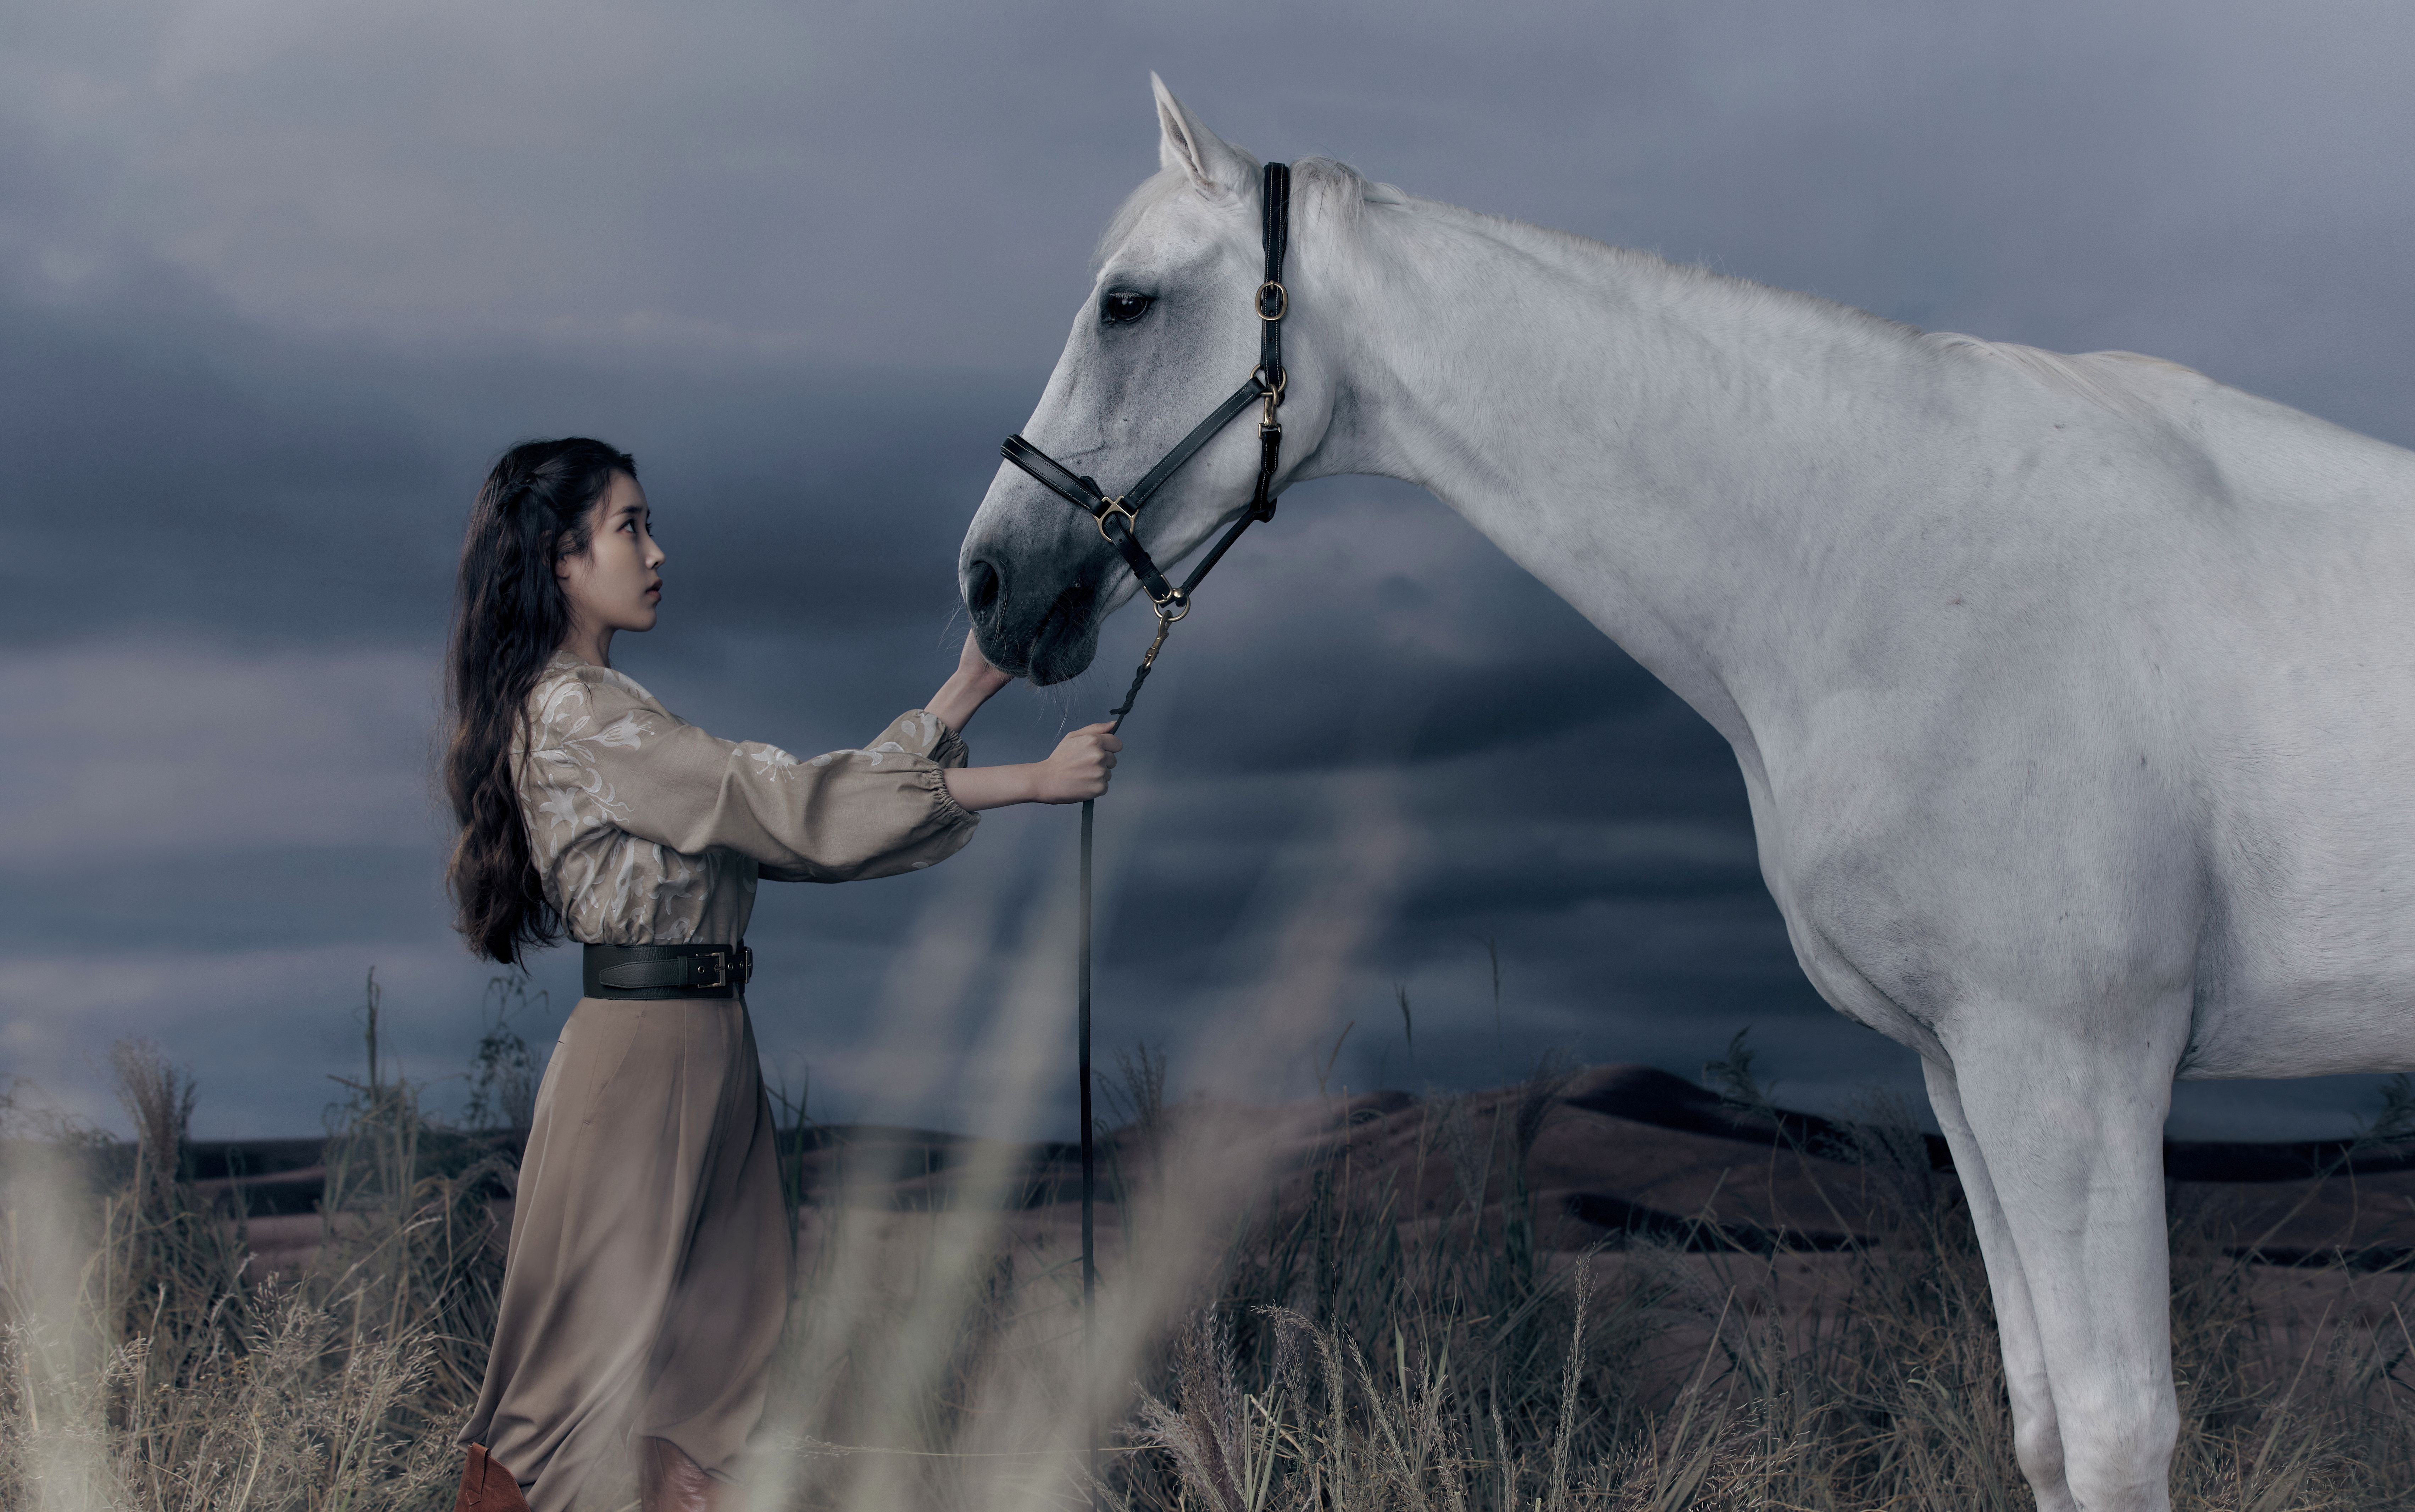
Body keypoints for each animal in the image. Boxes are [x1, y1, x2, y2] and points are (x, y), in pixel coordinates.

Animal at [956, 82, 2415, 1507]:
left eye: (1126, 302)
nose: (989, 581)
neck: (1907, 560)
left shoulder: (2075, 1065)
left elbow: (2117, 1431)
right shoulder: (1966, 1069)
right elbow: (2048, 1425)